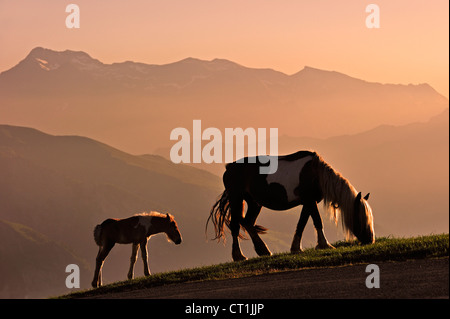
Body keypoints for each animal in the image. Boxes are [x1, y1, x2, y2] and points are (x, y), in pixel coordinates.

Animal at [208, 151, 376, 262]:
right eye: (361, 217)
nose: (370, 239)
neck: (315, 173)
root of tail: (229, 168)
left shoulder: (308, 202)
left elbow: (302, 223)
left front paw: (296, 247)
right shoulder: (309, 201)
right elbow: (317, 221)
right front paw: (325, 245)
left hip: (254, 202)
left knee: (247, 222)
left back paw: (263, 250)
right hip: (236, 198)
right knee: (236, 225)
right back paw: (239, 256)